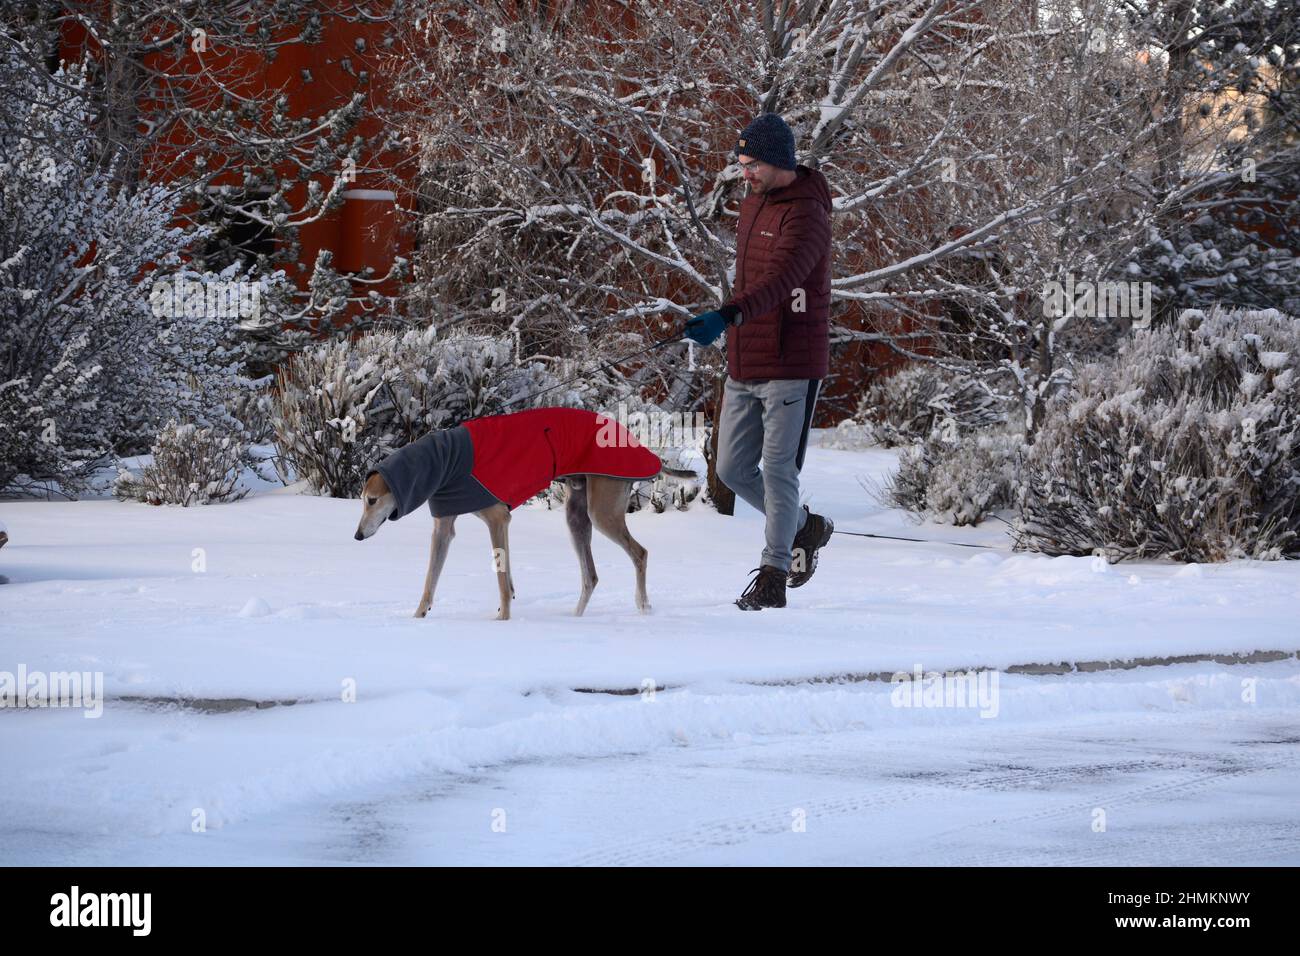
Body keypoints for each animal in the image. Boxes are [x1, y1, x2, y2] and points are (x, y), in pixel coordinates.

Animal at [351, 408, 686, 621]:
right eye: (363, 500)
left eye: (371, 500)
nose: (357, 535)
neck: (449, 461)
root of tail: (636, 442)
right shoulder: (444, 529)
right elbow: (431, 580)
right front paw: (418, 616)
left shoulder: (498, 520)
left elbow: (502, 581)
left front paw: (503, 621)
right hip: (576, 515)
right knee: (590, 575)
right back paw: (576, 618)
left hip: (602, 511)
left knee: (640, 553)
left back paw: (643, 606)